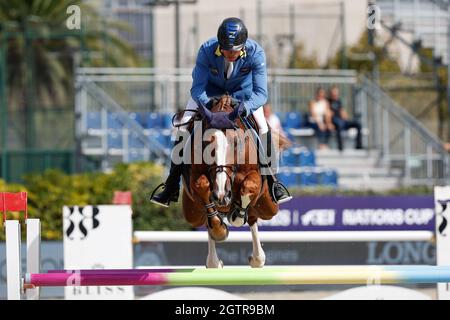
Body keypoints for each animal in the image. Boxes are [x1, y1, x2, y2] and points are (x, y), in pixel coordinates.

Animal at [180, 95, 288, 268]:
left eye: (237, 142)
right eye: (205, 143)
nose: (222, 196)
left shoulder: (254, 179)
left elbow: (248, 187)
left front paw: (236, 216)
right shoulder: (195, 178)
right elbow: (202, 185)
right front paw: (219, 230)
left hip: (269, 207)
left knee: (252, 218)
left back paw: (257, 258)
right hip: (192, 213)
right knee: (207, 221)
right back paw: (214, 260)